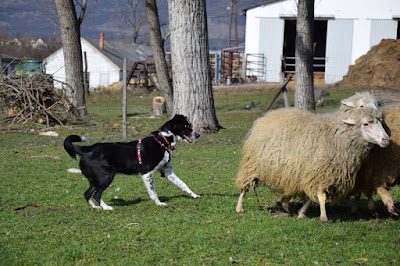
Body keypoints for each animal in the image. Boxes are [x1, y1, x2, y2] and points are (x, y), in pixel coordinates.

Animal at [63, 114, 200, 210]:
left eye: (190, 125)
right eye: (186, 127)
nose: (198, 135)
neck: (162, 141)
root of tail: (86, 149)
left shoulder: (168, 172)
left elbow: (183, 184)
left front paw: (194, 195)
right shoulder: (146, 174)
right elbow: (153, 192)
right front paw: (159, 203)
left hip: (96, 180)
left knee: (87, 194)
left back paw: (97, 207)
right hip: (105, 177)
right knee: (96, 194)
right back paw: (106, 207)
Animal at [236, 107, 390, 221]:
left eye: (379, 122)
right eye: (366, 123)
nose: (386, 139)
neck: (337, 138)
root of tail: (266, 116)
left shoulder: (313, 175)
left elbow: (311, 197)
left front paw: (301, 213)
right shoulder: (319, 172)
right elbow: (321, 195)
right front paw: (323, 217)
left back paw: (285, 204)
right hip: (252, 165)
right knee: (244, 187)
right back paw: (239, 208)